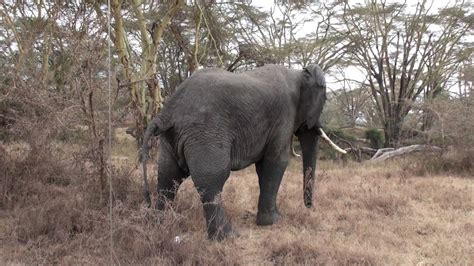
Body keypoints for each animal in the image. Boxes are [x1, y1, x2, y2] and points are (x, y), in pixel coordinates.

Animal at [139, 64, 346, 241]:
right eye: (324, 101)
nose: (310, 208)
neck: (299, 72)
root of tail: (166, 112)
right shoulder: (284, 115)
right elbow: (277, 162)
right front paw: (272, 222)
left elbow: (263, 169)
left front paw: (274, 217)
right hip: (205, 133)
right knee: (212, 179)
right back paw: (227, 237)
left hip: (172, 136)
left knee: (168, 177)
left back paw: (158, 226)